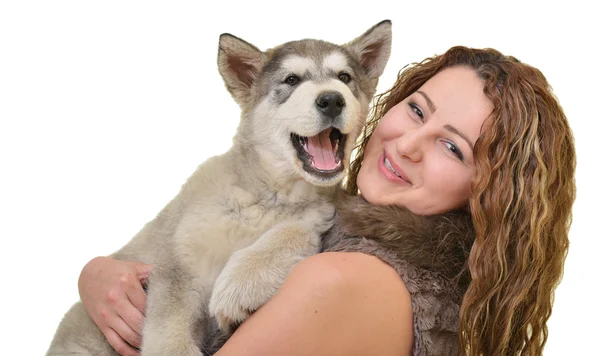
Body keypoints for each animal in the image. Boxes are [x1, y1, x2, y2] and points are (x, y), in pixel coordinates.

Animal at [48, 20, 394, 356]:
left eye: (344, 77)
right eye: (292, 80)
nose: (332, 99)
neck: (270, 197)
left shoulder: (317, 216)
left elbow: (290, 234)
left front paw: (241, 284)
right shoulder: (178, 263)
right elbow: (169, 328)